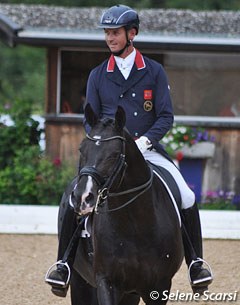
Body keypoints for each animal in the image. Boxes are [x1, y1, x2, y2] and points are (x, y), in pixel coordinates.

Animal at [57, 103, 183, 302]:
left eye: (114, 154)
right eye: (81, 149)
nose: (82, 197)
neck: (135, 224)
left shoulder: (160, 285)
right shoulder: (106, 282)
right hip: (80, 280)